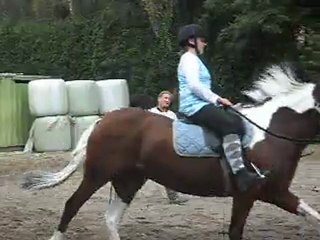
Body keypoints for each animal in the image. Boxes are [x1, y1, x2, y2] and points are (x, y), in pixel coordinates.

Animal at [21, 62, 320, 239]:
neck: (271, 131)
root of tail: (103, 119)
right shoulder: (247, 194)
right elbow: (235, 231)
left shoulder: (276, 192)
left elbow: (312, 214)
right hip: (97, 174)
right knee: (72, 205)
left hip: (129, 180)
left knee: (111, 218)